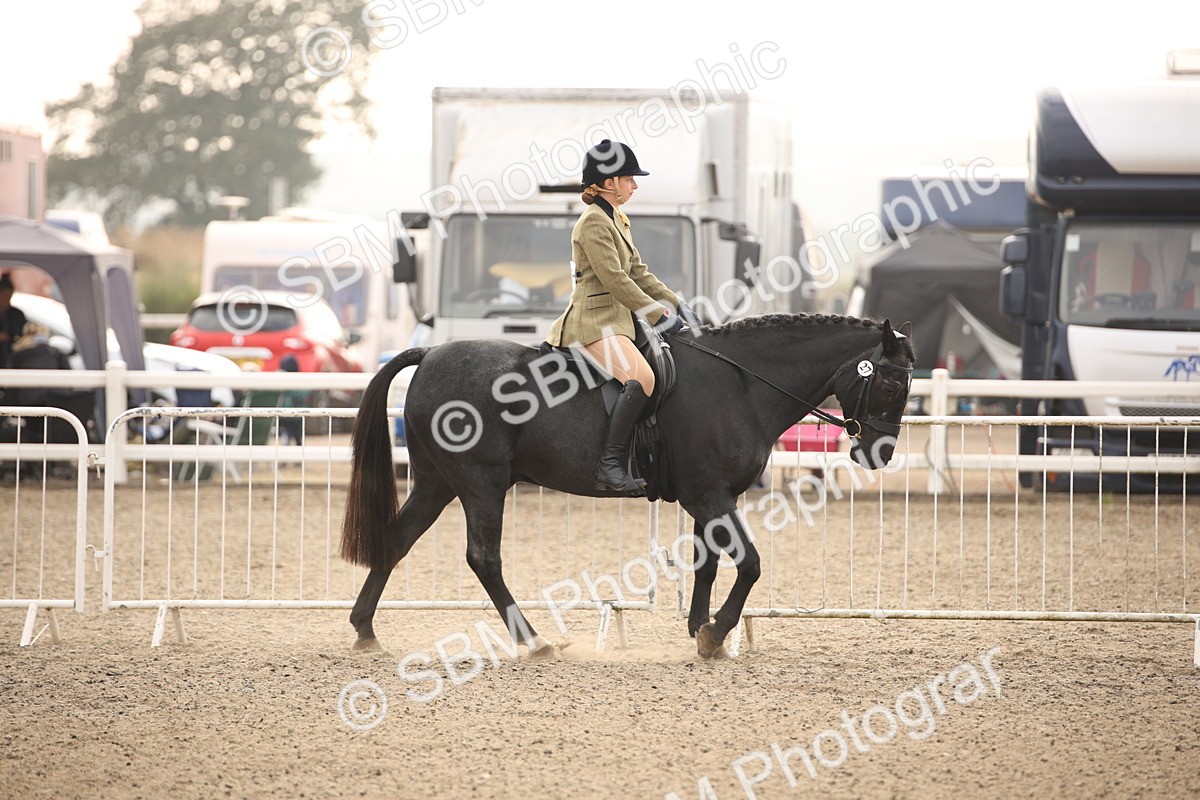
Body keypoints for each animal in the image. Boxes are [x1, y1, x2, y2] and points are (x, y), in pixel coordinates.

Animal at [341, 313, 915, 658]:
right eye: (891, 381)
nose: (881, 453)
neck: (741, 386)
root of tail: (430, 355)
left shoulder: (713, 497)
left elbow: (707, 563)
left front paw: (698, 628)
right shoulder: (709, 496)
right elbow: (750, 563)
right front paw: (714, 634)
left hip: (436, 483)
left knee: (397, 541)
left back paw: (365, 631)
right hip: (481, 484)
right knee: (483, 558)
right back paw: (533, 641)